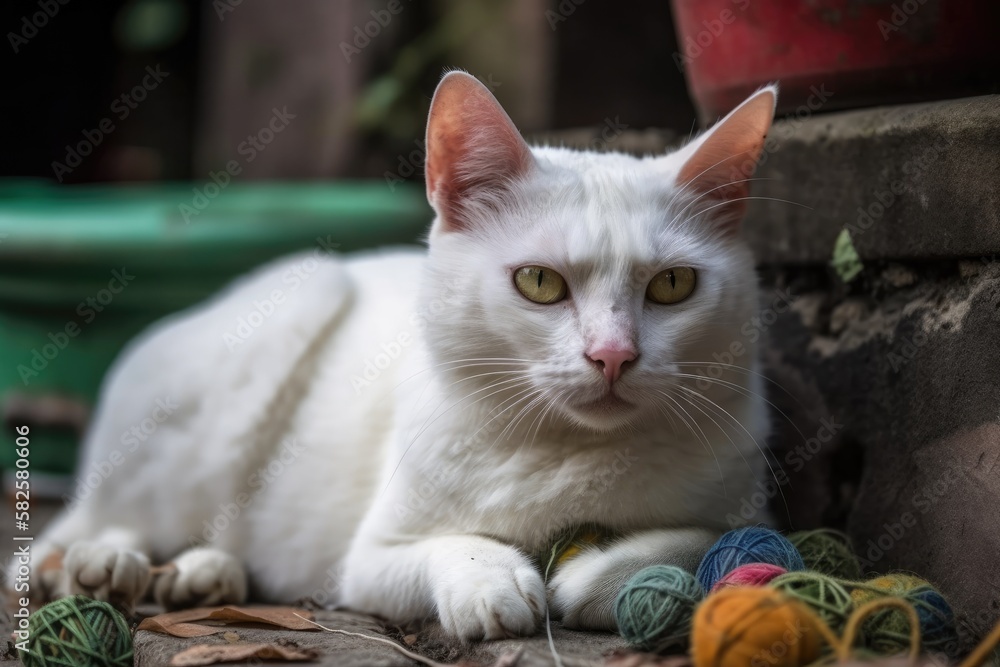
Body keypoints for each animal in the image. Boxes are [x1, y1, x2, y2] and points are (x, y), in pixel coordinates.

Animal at [17, 73, 780, 640]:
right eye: (539, 282)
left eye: (672, 286)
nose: (613, 355)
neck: (573, 454)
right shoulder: (366, 561)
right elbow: (452, 545)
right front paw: (493, 580)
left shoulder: (749, 512)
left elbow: (693, 541)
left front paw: (592, 574)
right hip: (285, 319)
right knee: (95, 524)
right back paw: (100, 565)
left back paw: (202, 575)